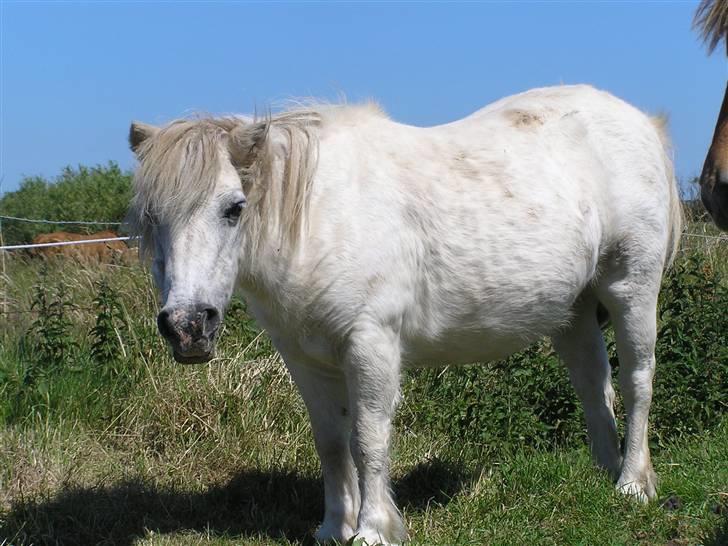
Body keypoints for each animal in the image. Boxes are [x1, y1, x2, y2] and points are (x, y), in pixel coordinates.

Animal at [129, 84, 684, 540]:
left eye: (234, 208)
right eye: (152, 217)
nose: (186, 326)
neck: (320, 216)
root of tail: (641, 123)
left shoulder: (370, 344)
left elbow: (368, 438)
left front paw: (373, 529)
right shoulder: (305, 359)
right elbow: (331, 442)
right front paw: (334, 527)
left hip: (631, 289)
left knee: (636, 381)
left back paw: (632, 484)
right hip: (575, 311)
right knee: (595, 385)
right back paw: (603, 473)